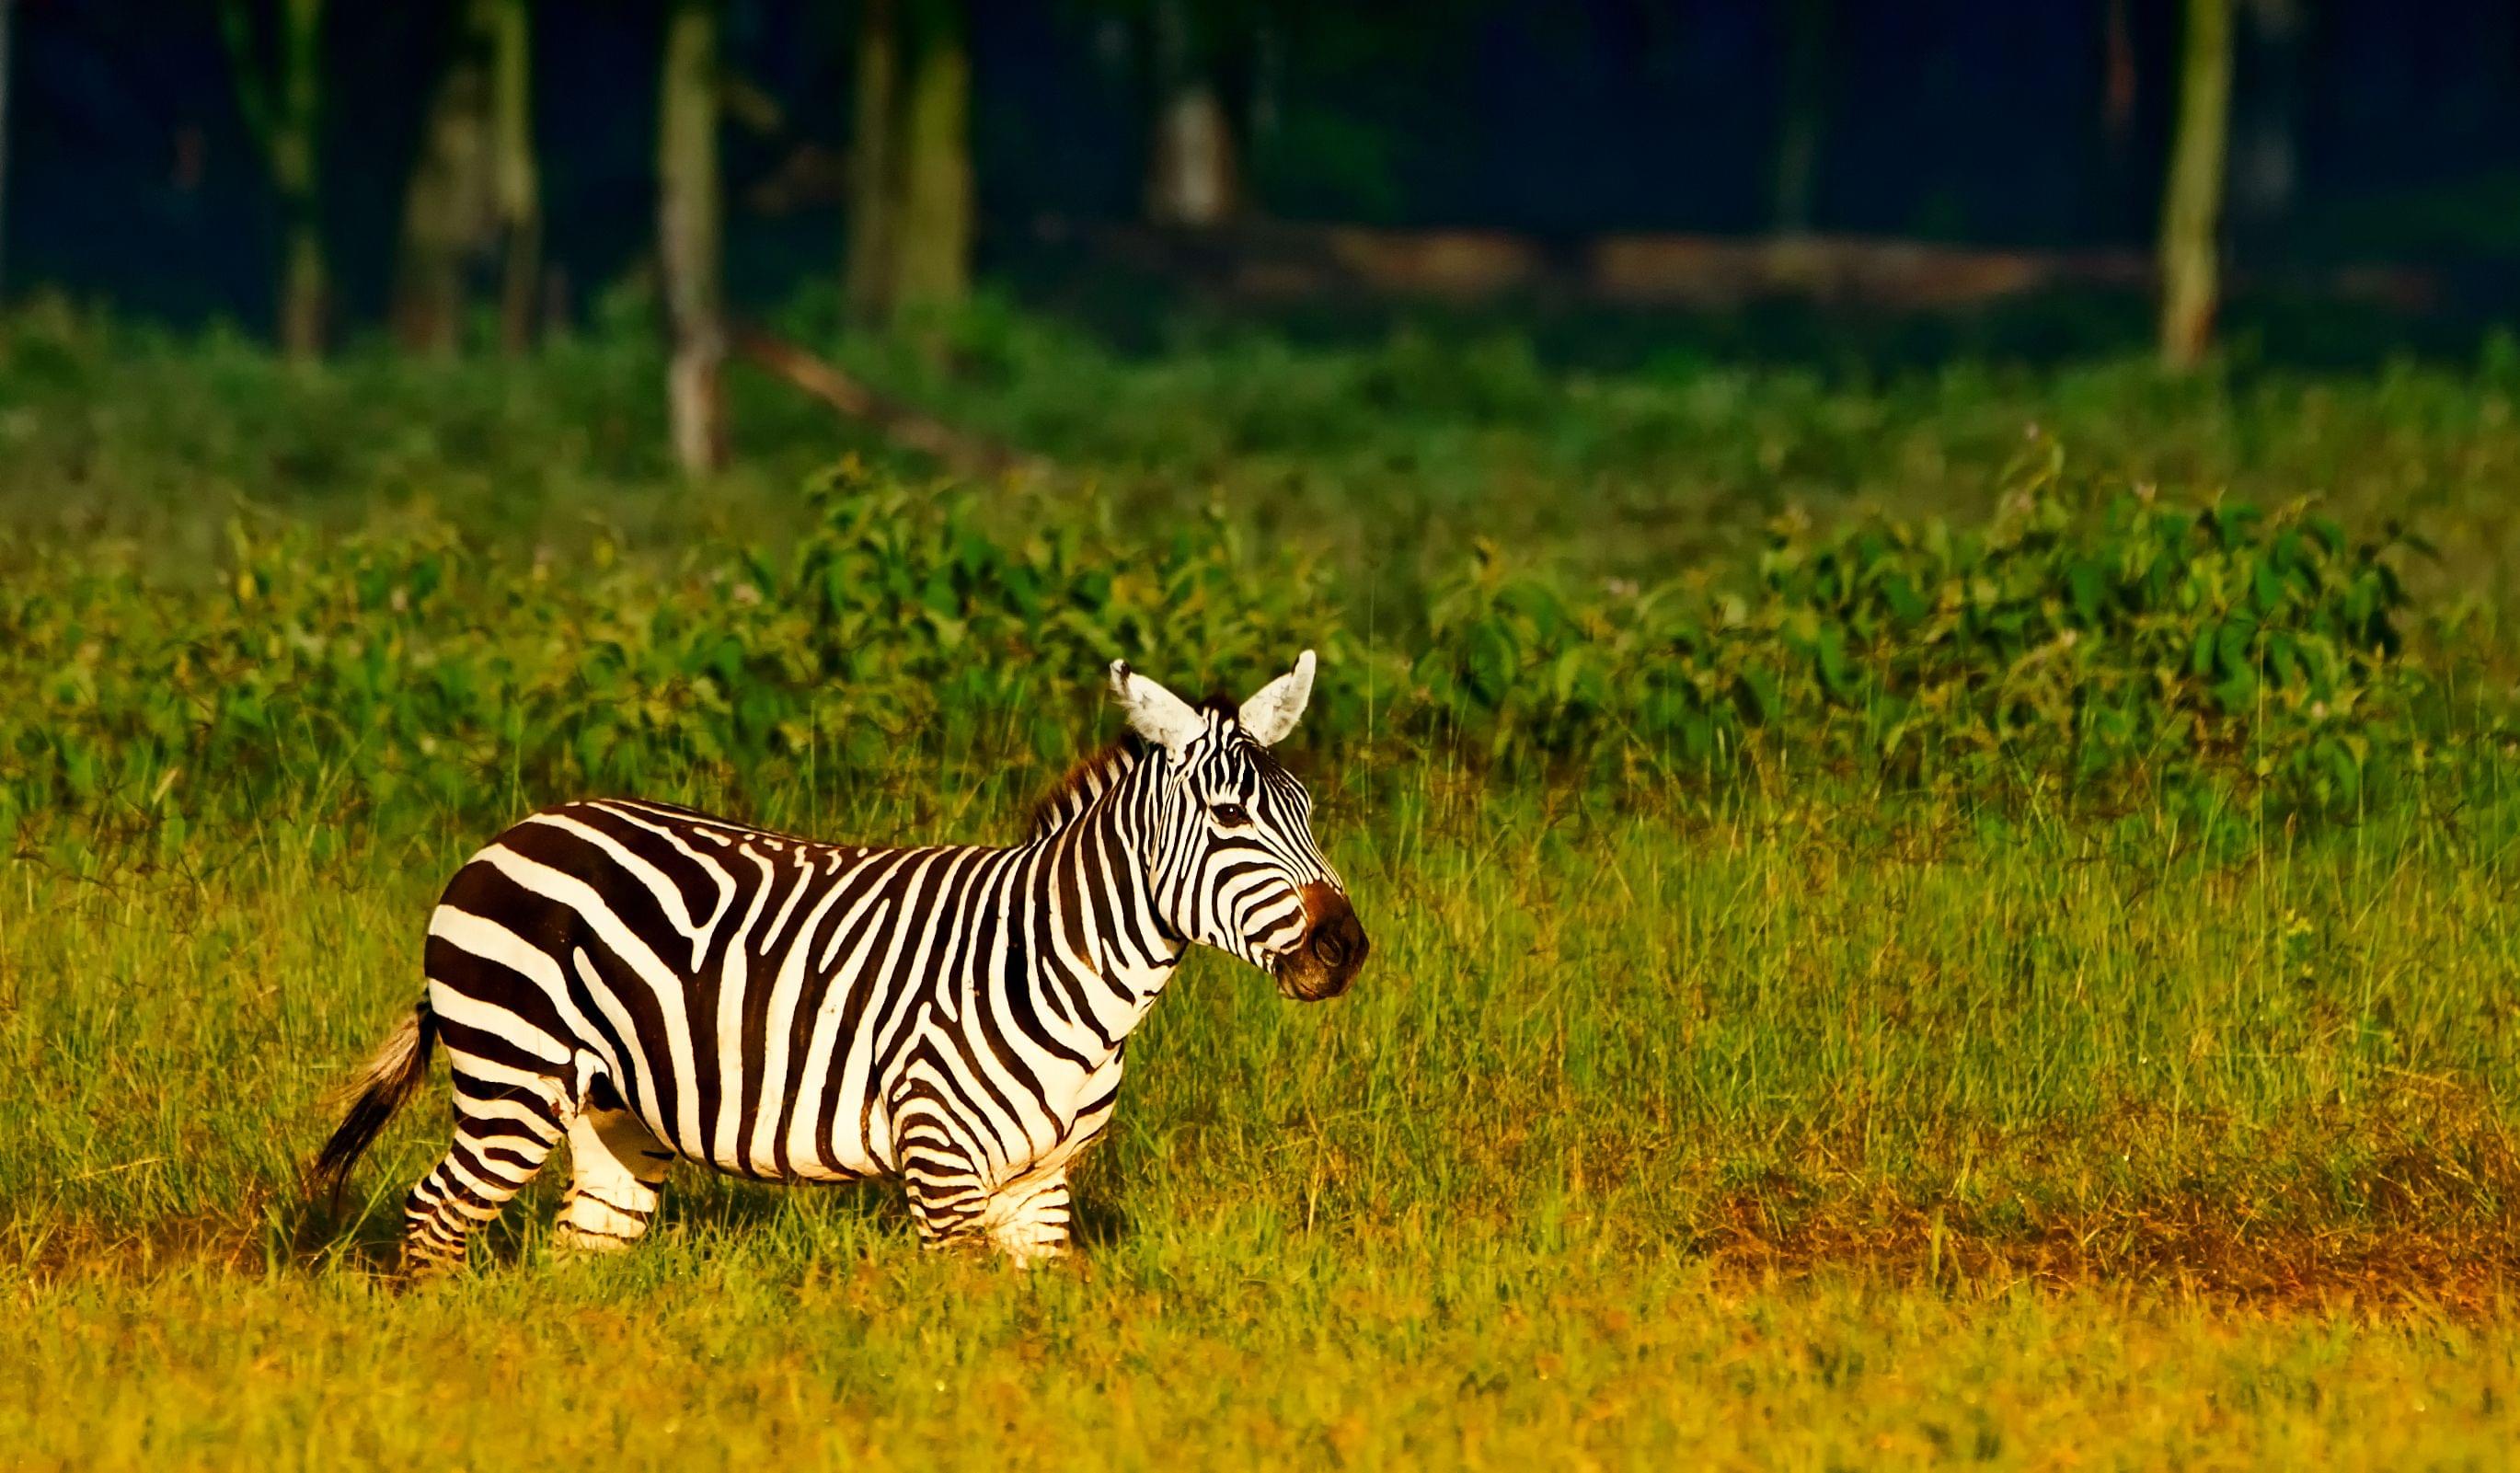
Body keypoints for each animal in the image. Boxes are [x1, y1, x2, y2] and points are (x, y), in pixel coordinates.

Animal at [315, 650, 1380, 1269]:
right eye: (1229, 815)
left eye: (1308, 812)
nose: (1346, 946)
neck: (1071, 976)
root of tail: (512, 832)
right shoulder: (941, 1165)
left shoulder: (1040, 1189)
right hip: (512, 1079)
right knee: (432, 1217)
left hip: (612, 1115)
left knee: (584, 1251)